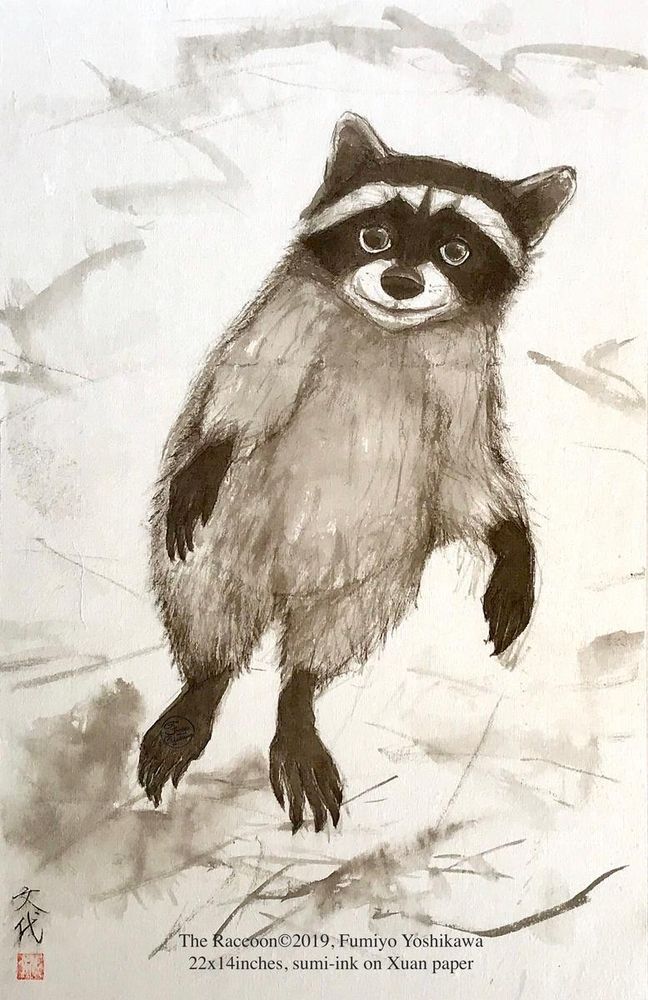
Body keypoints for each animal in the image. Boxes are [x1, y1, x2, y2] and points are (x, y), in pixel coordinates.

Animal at [139, 113, 576, 832]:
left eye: (456, 251)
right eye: (375, 237)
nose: (400, 282)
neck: (387, 333)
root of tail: (282, 591)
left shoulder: (465, 389)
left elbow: (471, 473)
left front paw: (513, 540)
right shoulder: (281, 328)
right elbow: (243, 400)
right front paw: (212, 450)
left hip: (379, 568)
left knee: (334, 632)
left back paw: (298, 697)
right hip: (227, 538)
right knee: (204, 597)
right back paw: (204, 683)